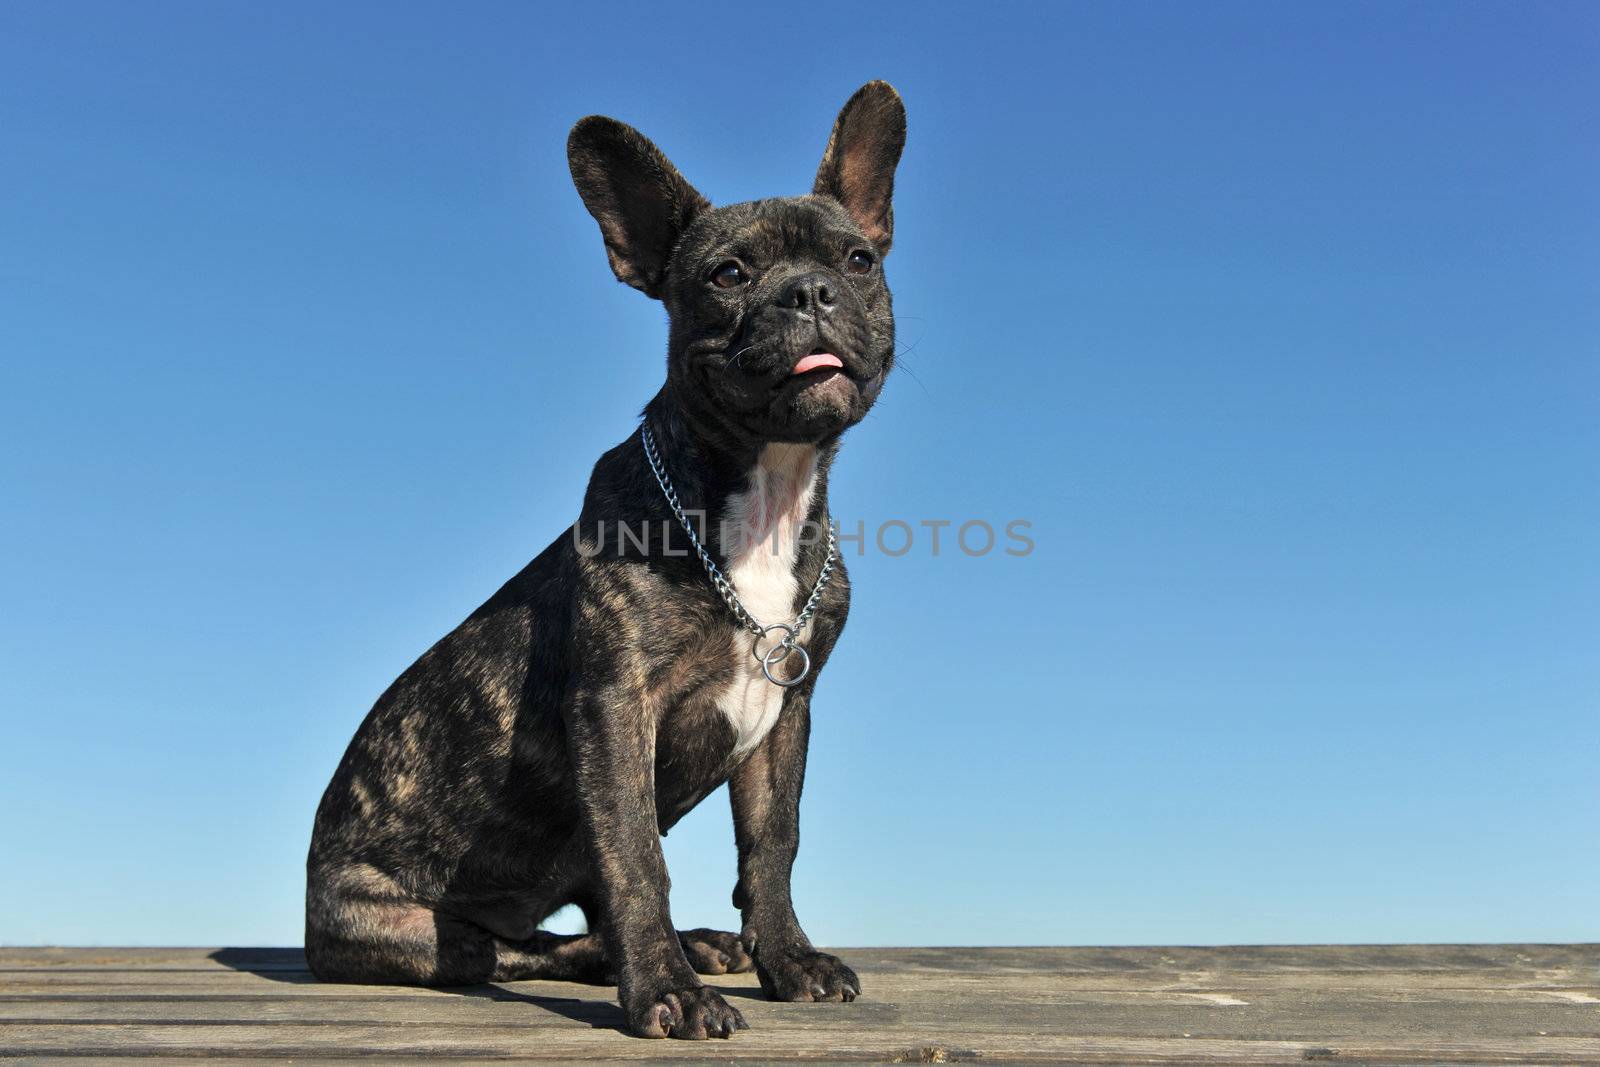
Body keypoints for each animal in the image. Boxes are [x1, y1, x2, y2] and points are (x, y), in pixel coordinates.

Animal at [305, 83, 908, 1043]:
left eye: (857, 260)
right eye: (727, 275)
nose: (809, 291)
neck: (763, 494)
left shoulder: (788, 714)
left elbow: (773, 845)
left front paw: (788, 960)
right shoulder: (616, 706)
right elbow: (635, 857)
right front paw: (666, 991)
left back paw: (697, 944)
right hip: (412, 927)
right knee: (516, 945)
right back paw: (648, 960)